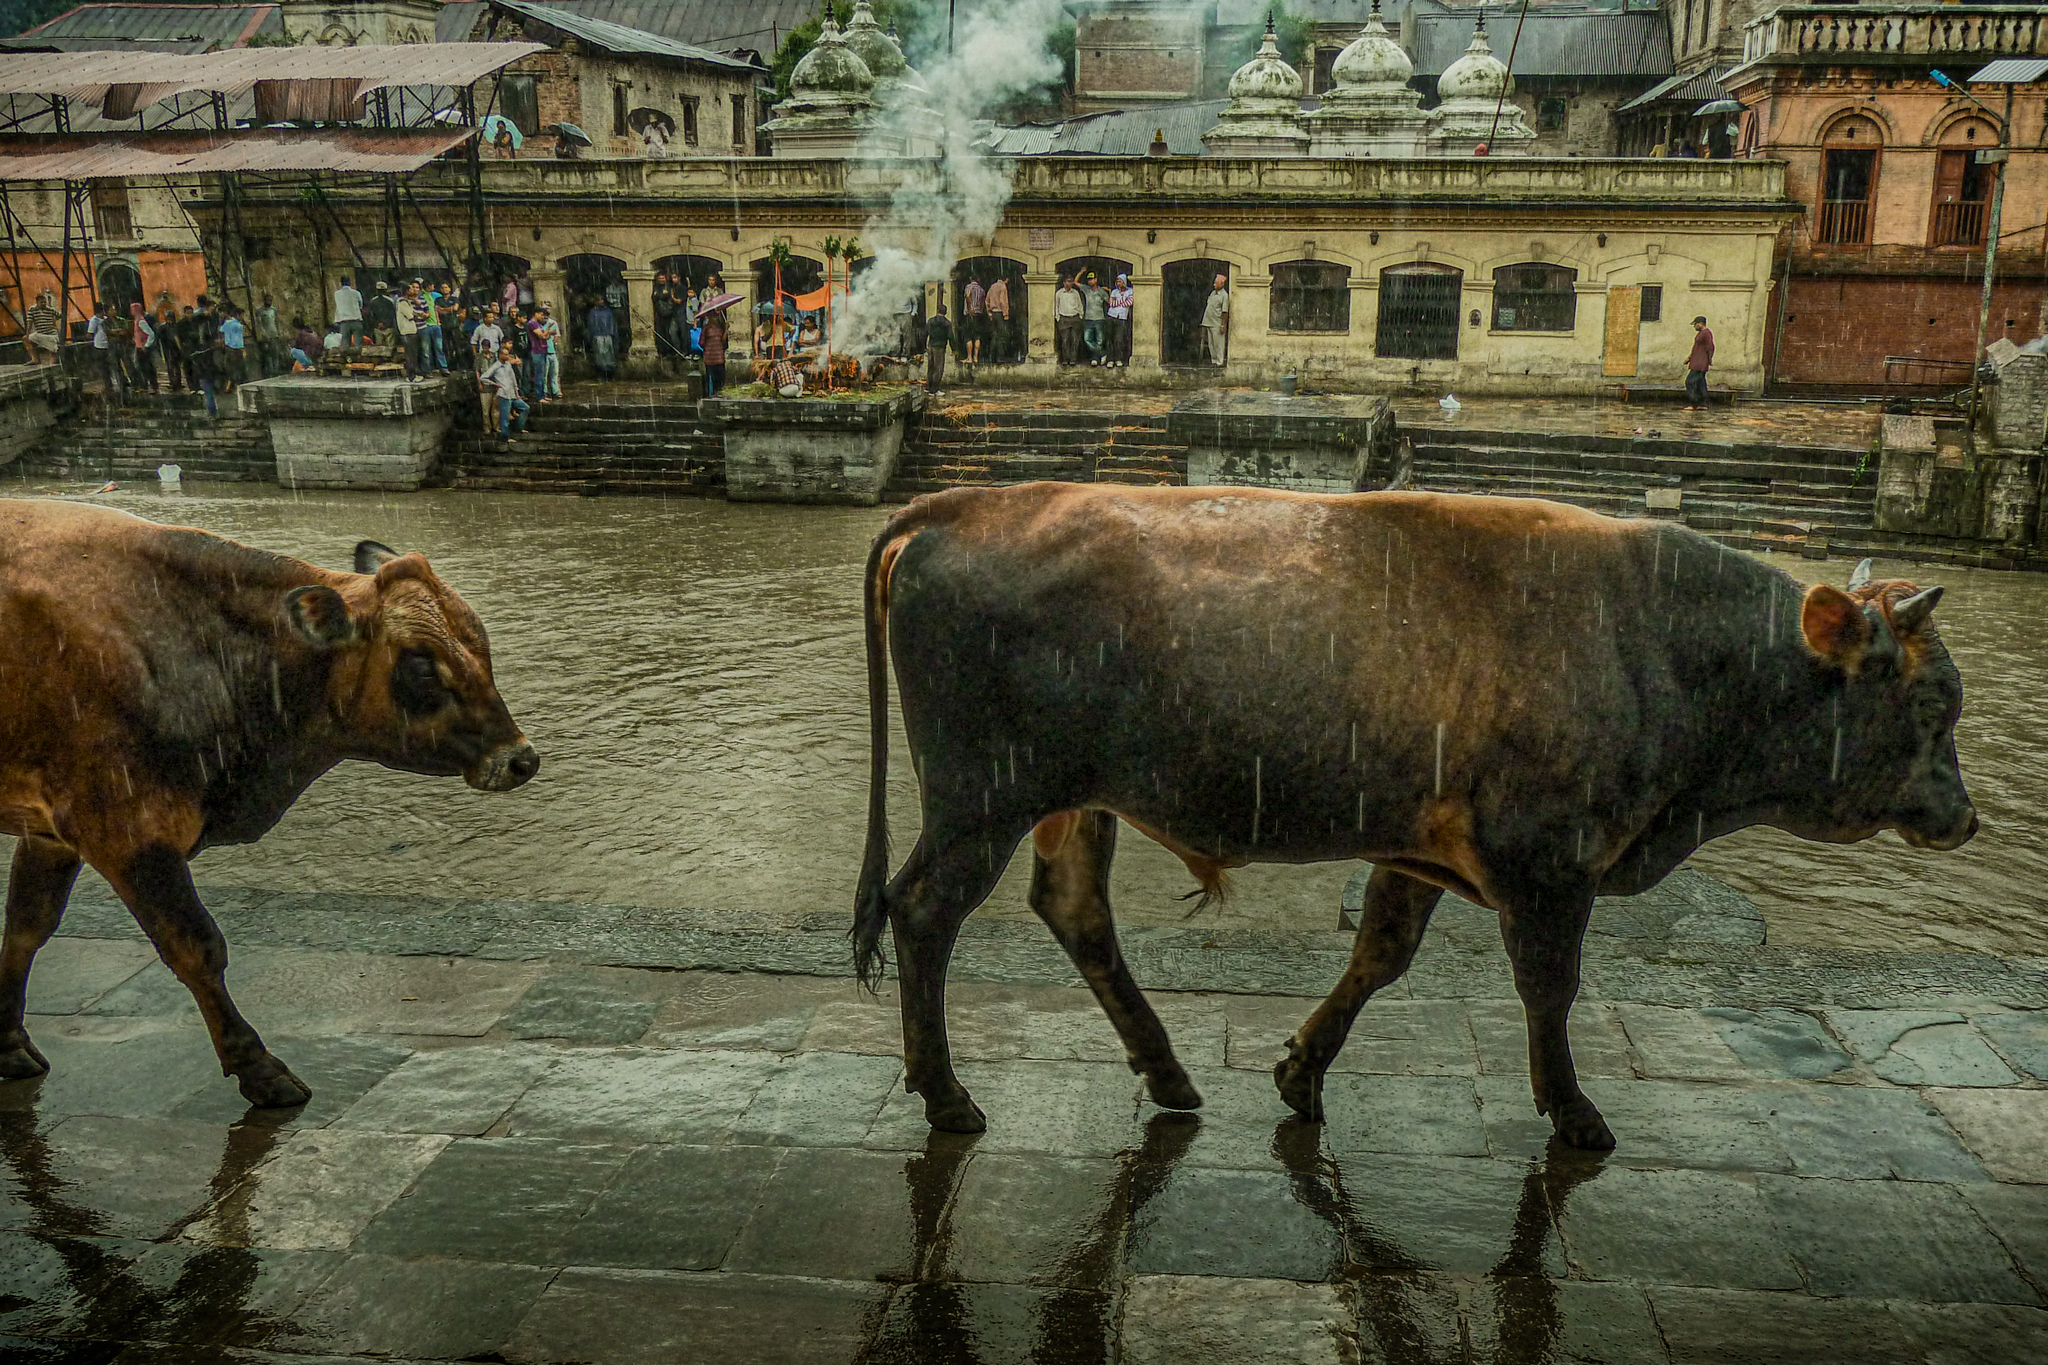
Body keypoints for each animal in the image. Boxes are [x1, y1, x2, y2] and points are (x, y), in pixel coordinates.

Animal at [0, 501, 540, 1113]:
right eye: (422, 665)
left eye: (481, 644)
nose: (520, 758)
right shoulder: (124, 829)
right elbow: (197, 946)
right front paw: (259, 1068)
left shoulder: (50, 833)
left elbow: (27, 925)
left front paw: (7, 1042)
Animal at [856, 485, 1974, 1146]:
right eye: (1929, 702)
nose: (1962, 818)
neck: (1659, 644)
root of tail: (961, 502)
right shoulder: (1547, 865)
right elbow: (1548, 989)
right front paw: (1574, 1112)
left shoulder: (1417, 848)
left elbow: (1380, 955)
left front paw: (1301, 1069)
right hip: (981, 803)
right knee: (924, 911)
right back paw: (948, 1097)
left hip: (1073, 800)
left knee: (1074, 910)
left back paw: (1168, 1075)